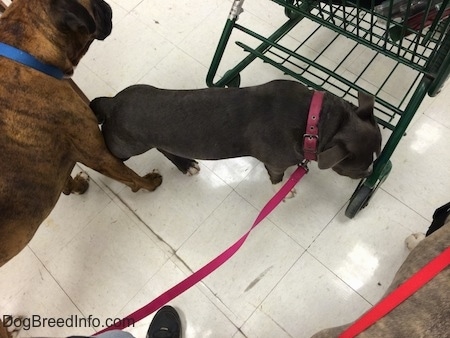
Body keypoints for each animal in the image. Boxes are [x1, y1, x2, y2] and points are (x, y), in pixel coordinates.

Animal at [0, 1, 162, 336]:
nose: (108, 6)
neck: (25, 52)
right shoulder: (97, 152)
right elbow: (128, 175)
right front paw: (148, 183)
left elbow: (64, 179)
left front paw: (76, 187)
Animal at [91, 80, 384, 186]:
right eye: (358, 167)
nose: (370, 174)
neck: (315, 121)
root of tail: (113, 102)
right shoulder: (277, 162)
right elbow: (276, 178)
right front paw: (284, 190)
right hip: (124, 146)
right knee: (108, 155)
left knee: (165, 148)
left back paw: (186, 165)